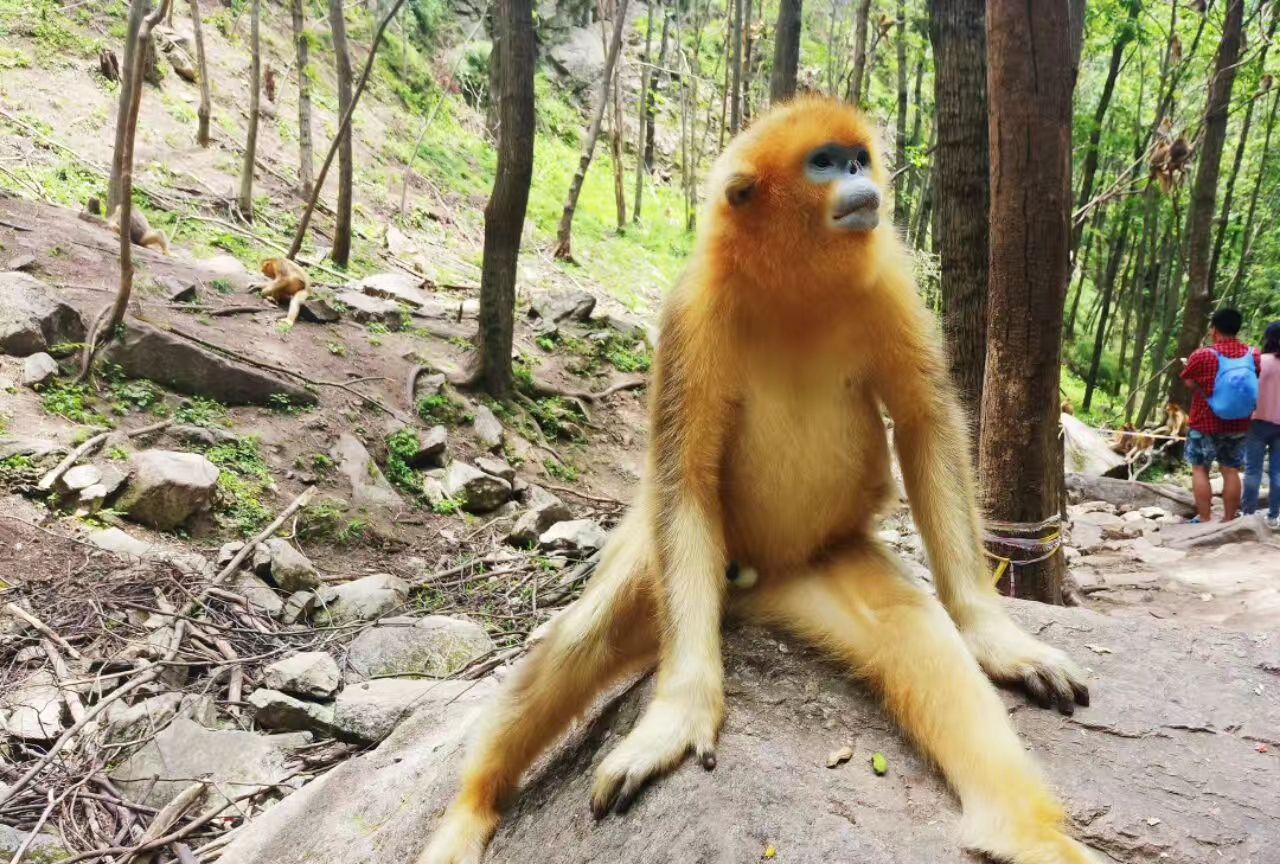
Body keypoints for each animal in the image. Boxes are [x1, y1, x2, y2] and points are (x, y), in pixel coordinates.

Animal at [414, 96, 1095, 864]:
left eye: (858, 159)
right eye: (825, 164)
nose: (863, 182)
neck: (794, 284)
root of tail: (756, 586)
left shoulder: (889, 284)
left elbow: (926, 426)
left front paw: (992, 630)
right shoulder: (690, 312)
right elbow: (684, 479)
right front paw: (680, 717)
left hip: (821, 563)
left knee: (910, 627)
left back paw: (1025, 833)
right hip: (682, 576)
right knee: (586, 634)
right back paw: (470, 809)